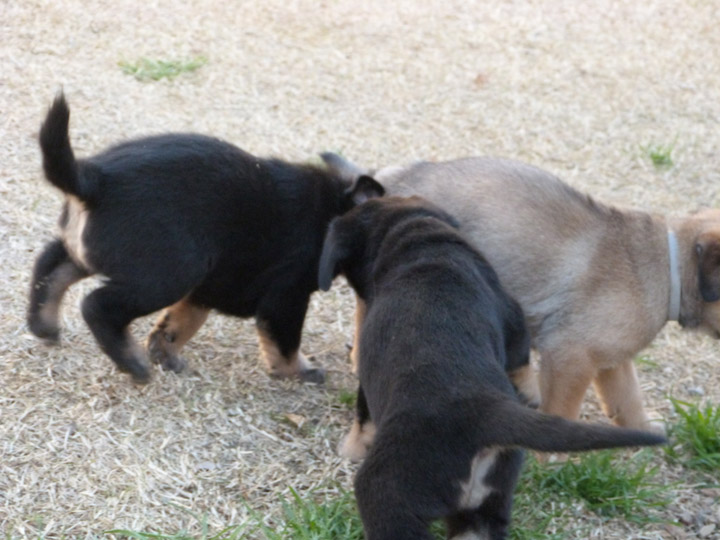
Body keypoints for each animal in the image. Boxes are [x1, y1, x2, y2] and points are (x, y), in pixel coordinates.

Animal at [26, 95, 382, 384]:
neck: (333, 209)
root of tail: (95, 180)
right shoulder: (287, 298)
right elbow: (285, 344)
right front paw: (299, 371)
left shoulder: (208, 286)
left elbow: (180, 323)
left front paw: (165, 353)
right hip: (169, 274)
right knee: (97, 305)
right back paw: (133, 363)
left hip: (105, 254)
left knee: (50, 267)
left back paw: (44, 324)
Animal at [318, 197, 668, 540]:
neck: (425, 244)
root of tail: (482, 413)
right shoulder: (512, 316)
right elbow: (521, 360)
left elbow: (363, 414)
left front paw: (352, 448)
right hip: (485, 506)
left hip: (388, 493)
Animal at [322, 153, 720, 434]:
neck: (669, 265)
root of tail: (393, 178)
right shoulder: (571, 355)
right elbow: (563, 409)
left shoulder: (611, 360)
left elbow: (628, 400)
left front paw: (645, 431)